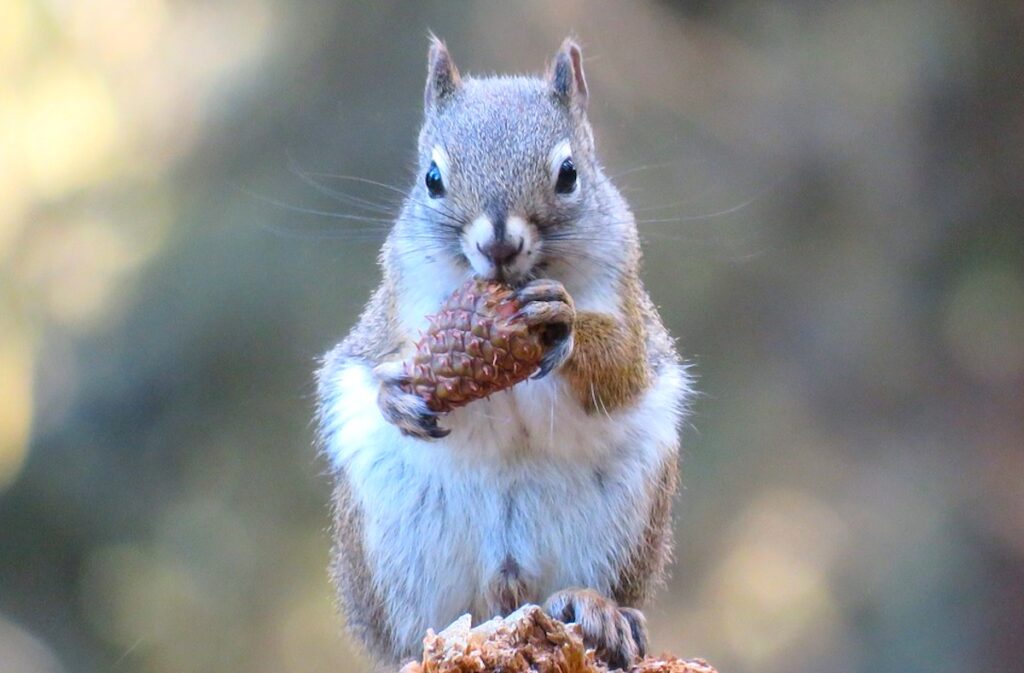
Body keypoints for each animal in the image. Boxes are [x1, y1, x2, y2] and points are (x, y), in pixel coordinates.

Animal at [315, 36, 691, 670]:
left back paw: (597, 608)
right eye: (432, 178)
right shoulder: (392, 316)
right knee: (420, 629)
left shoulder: (629, 306)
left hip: (623, 518)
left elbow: (623, 370)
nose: (498, 243)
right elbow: (369, 359)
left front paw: (564, 321)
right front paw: (396, 397)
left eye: (568, 174)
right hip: (396, 544)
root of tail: (507, 592)